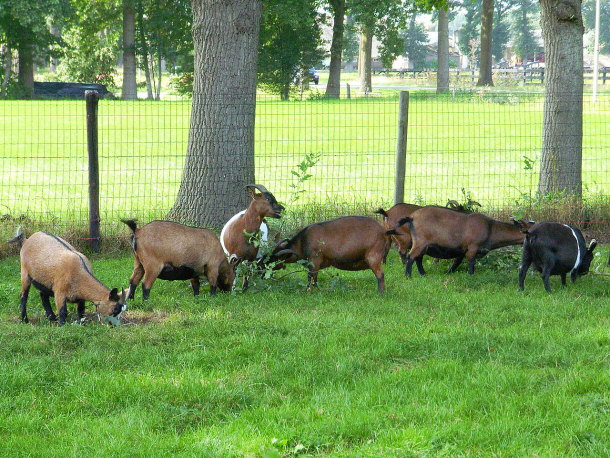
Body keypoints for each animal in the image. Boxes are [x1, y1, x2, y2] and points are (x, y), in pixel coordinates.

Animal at [268, 216, 396, 294]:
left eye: (276, 258)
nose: (264, 266)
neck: (302, 241)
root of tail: (384, 232)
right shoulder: (317, 264)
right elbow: (315, 278)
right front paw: (316, 289)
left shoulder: (314, 260)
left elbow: (310, 276)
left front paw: (308, 291)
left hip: (374, 257)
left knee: (380, 275)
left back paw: (380, 293)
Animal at [396, 207, 528, 276]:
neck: (490, 228)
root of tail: (412, 217)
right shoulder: (472, 247)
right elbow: (471, 263)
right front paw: (471, 276)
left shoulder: (462, 250)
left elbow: (456, 263)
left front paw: (448, 273)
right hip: (420, 241)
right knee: (411, 256)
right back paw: (408, 276)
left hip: (424, 245)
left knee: (418, 258)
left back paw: (423, 274)